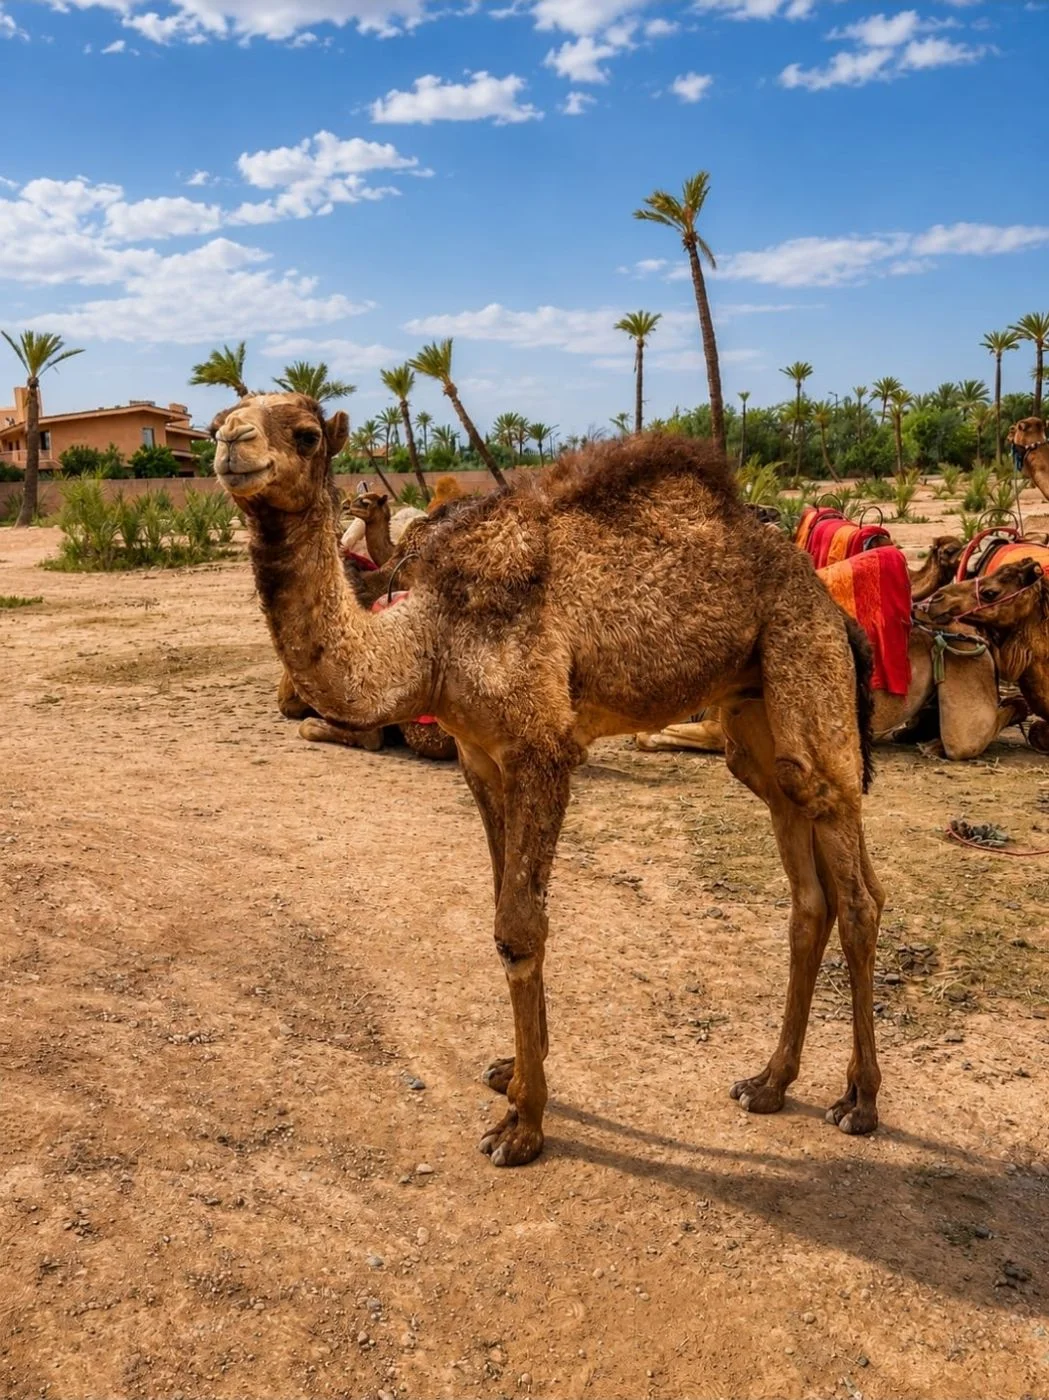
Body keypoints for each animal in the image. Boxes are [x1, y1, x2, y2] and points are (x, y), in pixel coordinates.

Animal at [213, 393, 886, 1166]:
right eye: (219, 418)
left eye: (305, 434)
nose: (232, 445)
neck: (429, 639)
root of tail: (831, 605)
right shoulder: (478, 754)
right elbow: (500, 903)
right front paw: (511, 1071)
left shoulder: (541, 748)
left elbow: (519, 925)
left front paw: (523, 1125)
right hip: (752, 713)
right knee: (809, 883)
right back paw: (768, 1083)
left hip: (803, 656)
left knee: (855, 887)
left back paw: (859, 1103)